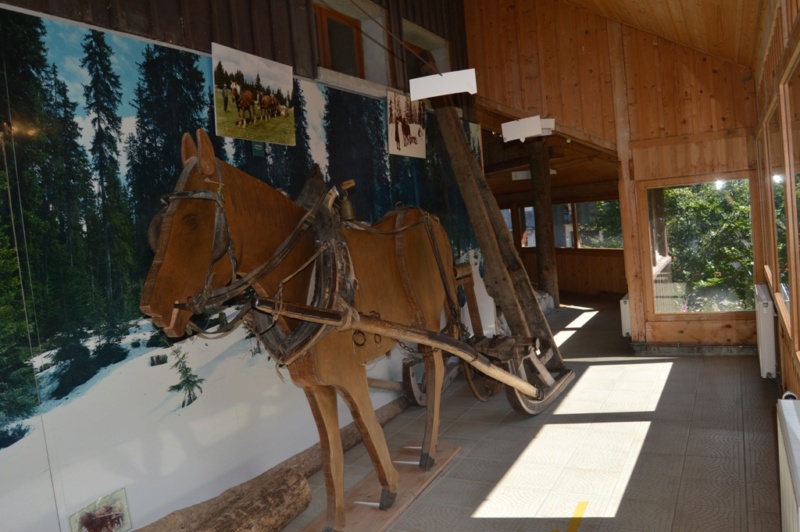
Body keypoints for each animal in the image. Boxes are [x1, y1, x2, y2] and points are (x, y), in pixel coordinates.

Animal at [141, 130, 460, 532]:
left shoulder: (349, 374)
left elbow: (369, 429)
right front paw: (335, 519)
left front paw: (389, 489)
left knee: (436, 371)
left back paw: (428, 451)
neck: (307, 272)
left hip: (431, 324)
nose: (151, 307)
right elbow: (330, 454)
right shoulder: (314, 385)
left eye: (194, 220)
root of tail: (428, 217)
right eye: (157, 224)